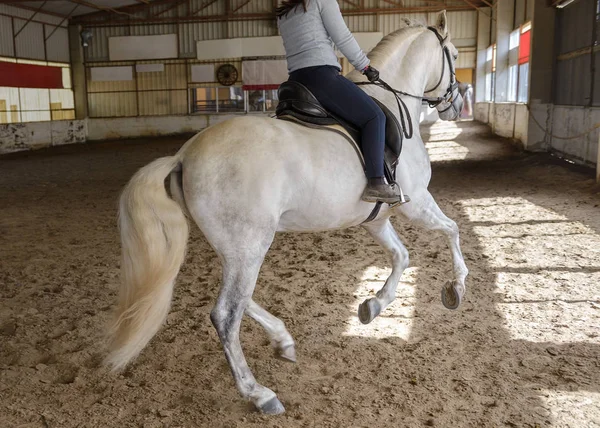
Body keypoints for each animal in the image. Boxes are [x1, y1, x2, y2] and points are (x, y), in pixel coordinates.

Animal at [105, 11, 468, 414]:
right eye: (453, 54)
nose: (456, 104)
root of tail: (184, 154)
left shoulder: (377, 219)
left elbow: (402, 256)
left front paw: (372, 306)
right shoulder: (417, 202)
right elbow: (452, 229)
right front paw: (456, 288)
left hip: (238, 247)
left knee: (240, 299)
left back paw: (283, 340)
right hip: (251, 244)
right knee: (225, 315)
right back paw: (260, 394)